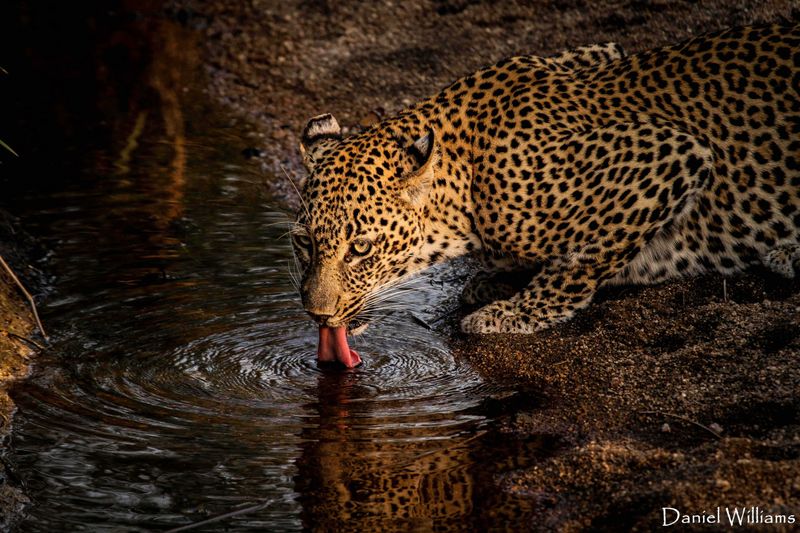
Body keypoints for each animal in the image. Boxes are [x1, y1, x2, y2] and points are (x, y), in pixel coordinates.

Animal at [292, 24, 800, 348]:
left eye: (360, 248)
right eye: (304, 242)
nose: (316, 314)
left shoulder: (674, 151)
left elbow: (582, 258)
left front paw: (513, 313)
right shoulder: (596, 54)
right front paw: (497, 281)